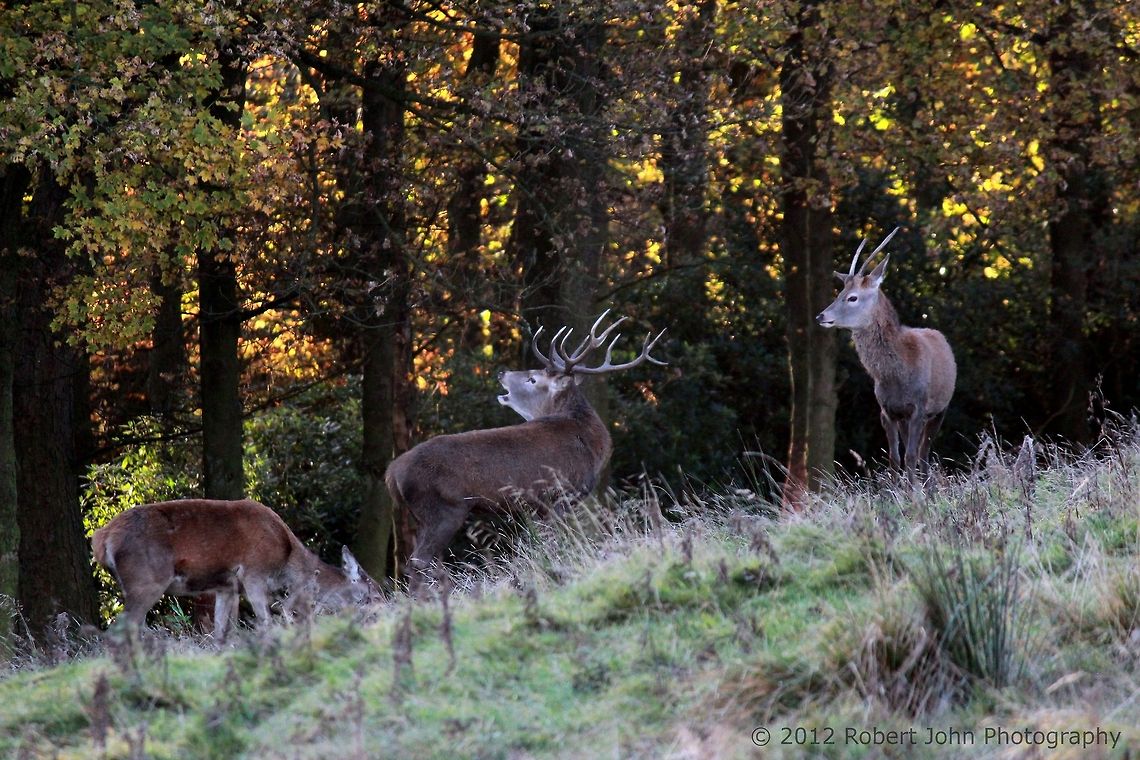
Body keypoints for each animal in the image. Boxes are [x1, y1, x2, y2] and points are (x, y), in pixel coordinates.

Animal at [91, 499, 383, 641]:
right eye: (371, 592)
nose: (385, 610)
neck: (286, 560)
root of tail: (103, 538)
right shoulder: (253, 572)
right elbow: (265, 621)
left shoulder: (227, 587)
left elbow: (222, 631)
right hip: (146, 579)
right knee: (120, 630)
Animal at [385, 310, 666, 579]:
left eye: (533, 378)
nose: (502, 372)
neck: (590, 442)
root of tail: (392, 473)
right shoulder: (559, 495)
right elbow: (553, 545)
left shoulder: (539, 506)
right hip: (443, 508)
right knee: (419, 562)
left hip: (422, 516)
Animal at [816, 227, 956, 479]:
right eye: (840, 292)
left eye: (852, 297)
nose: (821, 316)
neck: (897, 375)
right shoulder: (887, 411)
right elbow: (894, 458)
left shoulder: (919, 407)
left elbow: (910, 457)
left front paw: (914, 491)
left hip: (940, 409)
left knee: (924, 454)